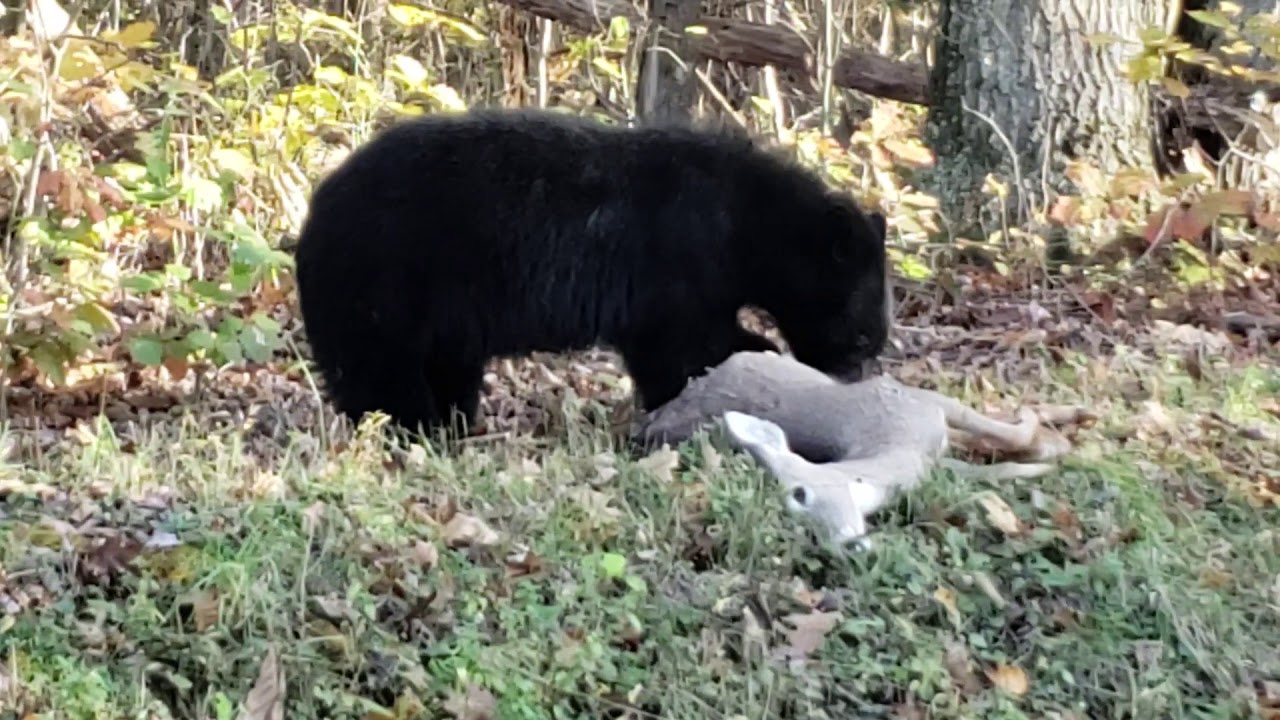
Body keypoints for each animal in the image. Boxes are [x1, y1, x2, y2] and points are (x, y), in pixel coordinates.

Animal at [293, 108, 892, 436]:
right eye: (864, 336)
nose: (852, 376)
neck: (747, 223)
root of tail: (316, 208)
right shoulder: (680, 261)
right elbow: (685, 345)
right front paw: (754, 358)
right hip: (385, 281)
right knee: (380, 369)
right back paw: (411, 427)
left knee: (444, 369)